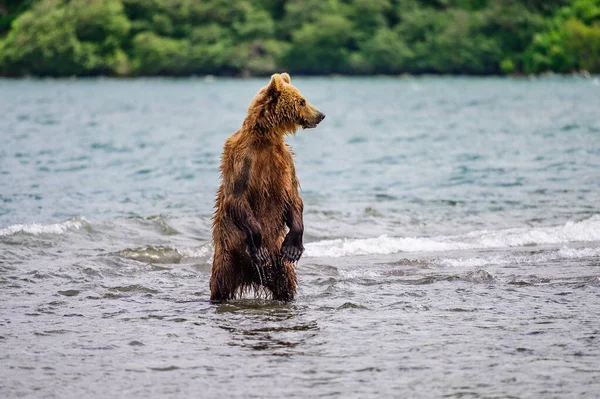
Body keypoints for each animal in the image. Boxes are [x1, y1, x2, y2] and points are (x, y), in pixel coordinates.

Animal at [210, 73, 324, 302]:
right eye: (302, 101)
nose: (321, 115)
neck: (265, 137)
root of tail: (249, 274)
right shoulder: (243, 158)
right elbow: (238, 196)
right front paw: (258, 246)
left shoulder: (284, 161)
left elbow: (293, 196)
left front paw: (294, 247)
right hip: (227, 255)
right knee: (220, 284)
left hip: (279, 265)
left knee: (286, 284)